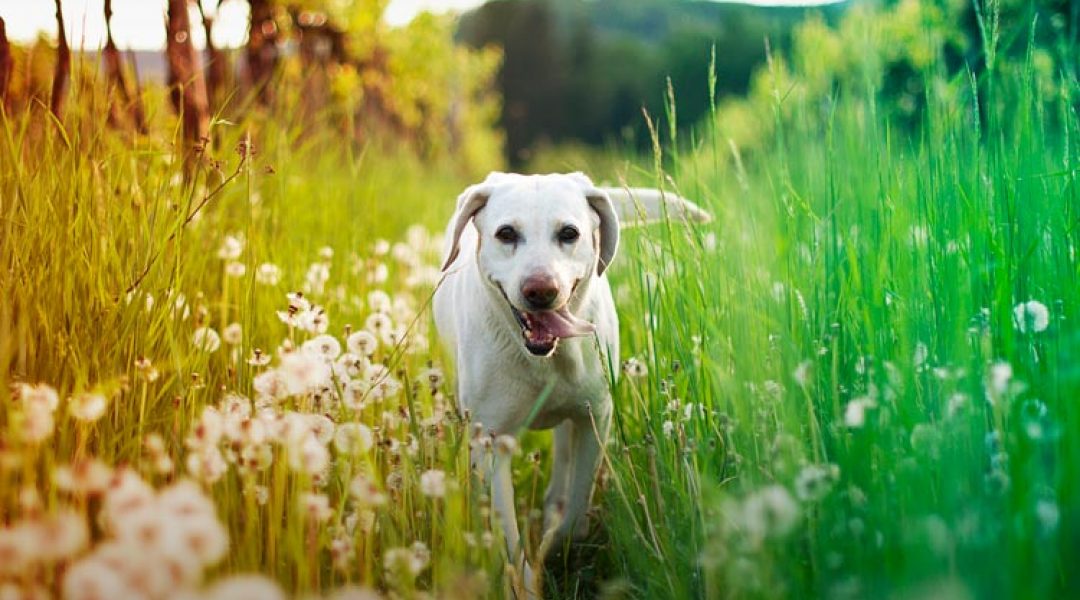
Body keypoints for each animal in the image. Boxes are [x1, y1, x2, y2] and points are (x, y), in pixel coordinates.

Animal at [429, 169, 708, 595]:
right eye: (506, 233)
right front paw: (524, 583)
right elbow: (507, 534)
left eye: (569, 233)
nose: (541, 290)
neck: (545, 357)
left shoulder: (595, 418)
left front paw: (556, 545)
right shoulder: (490, 438)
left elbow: (577, 502)